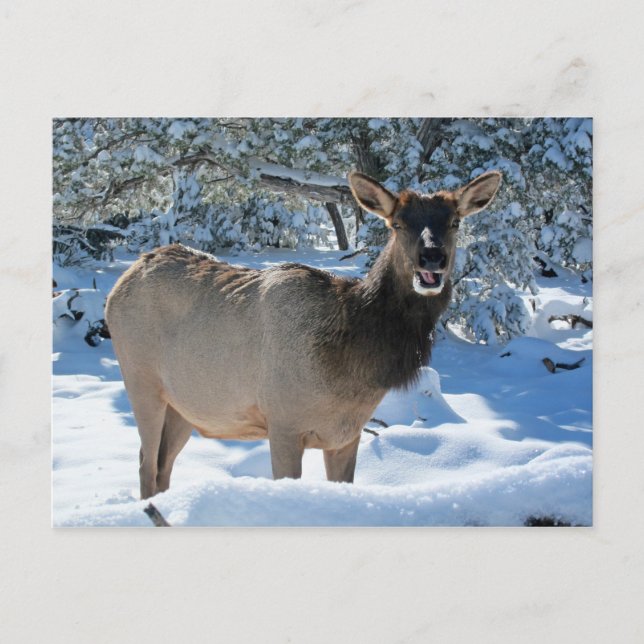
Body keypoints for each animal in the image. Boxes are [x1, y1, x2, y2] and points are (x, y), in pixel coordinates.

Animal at [105, 170, 502, 499]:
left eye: (455, 221)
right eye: (398, 223)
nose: (431, 257)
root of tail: (121, 283)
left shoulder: (346, 434)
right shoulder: (282, 423)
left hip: (185, 406)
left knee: (162, 466)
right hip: (141, 382)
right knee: (145, 465)